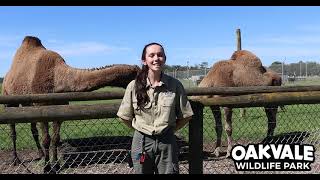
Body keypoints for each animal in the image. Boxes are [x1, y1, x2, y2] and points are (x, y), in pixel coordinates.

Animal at [1, 36, 140, 173]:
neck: (56, 78)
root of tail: (7, 75)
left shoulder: (59, 110)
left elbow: (55, 139)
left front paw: (56, 165)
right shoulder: (42, 109)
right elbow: (46, 140)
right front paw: (47, 167)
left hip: (28, 104)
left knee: (33, 129)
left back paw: (40, 154)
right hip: (9, 98)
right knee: (13, 130)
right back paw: (15, 159)